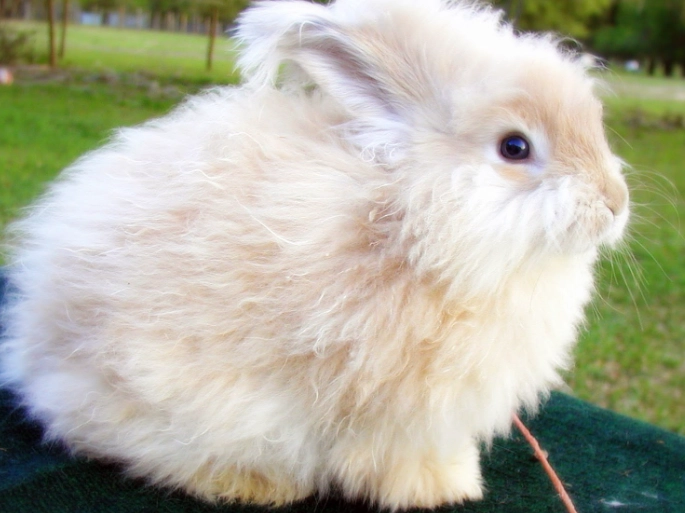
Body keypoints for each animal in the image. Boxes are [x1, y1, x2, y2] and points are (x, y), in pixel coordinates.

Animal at [0, 0, 629, 510]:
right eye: (514, 147)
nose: (614, 203)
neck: (411, 223)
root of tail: (36, 351)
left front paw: (455, 480)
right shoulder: (390, 410)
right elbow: (391, 458)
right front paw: (437, 491)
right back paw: (253, 485)